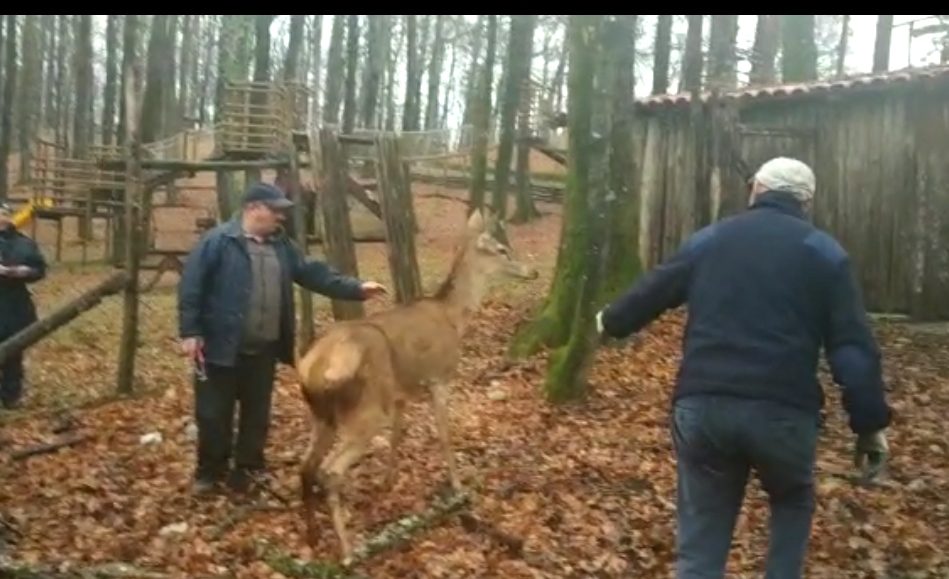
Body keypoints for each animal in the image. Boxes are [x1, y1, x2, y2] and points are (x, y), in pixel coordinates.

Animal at [292, 207, 536, 560]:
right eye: (503, 249)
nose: (532, 270)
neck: (454, 319)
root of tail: (314, 368)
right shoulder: (439, 376)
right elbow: (445, 435)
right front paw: (458, 486)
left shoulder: (400, 393)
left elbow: (398, 435)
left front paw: (388, 480)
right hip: (365, 412)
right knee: (330, 471)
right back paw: (349, 550)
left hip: (323, 415)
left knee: (305, 467)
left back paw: (312, 536)